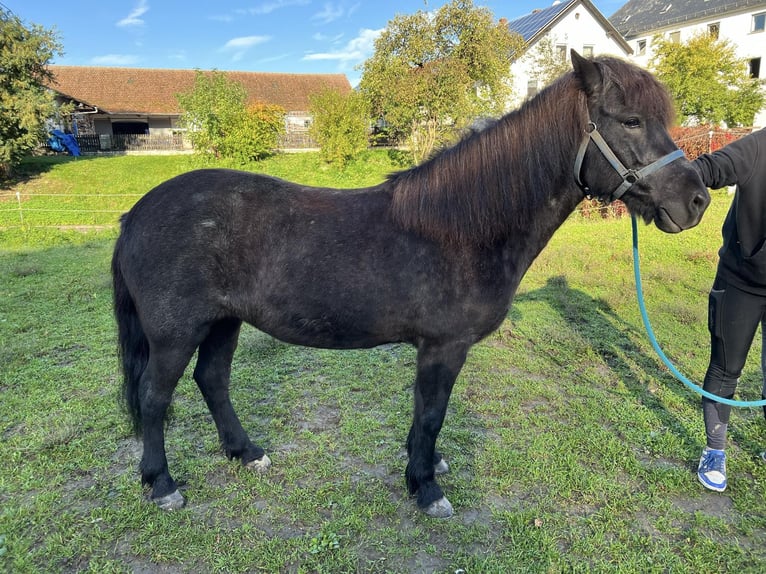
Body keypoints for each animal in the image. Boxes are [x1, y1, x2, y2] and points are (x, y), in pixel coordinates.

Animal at [111, 53, 712, 516]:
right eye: (629, 120)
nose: (697, 199)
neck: (464, 227)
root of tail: (135, 214)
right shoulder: (443, 346)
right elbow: (432, 412)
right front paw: (425, 487)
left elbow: (427, 415)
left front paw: (423, 465)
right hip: (176, 333)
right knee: (155, 396)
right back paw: (161, 484)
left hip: (222, 323)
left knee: (212, 381)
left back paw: (245, 452)